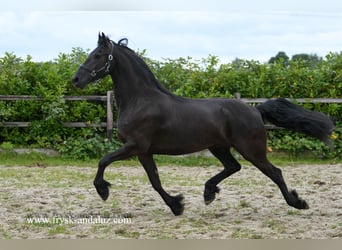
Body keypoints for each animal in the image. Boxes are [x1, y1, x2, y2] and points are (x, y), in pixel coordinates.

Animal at [71, 33, 334, 216]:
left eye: (97, 55)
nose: (75, 79)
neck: (141, 101)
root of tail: (255, 110)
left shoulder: (134, 146)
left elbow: (103, 161)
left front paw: (103, 190)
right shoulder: (144, 152)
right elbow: (155, 181)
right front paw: (177, 205)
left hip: (252, 149)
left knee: (274, 172)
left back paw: (298, 203)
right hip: (219, 147)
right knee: (233, 167)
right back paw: (209, 192)